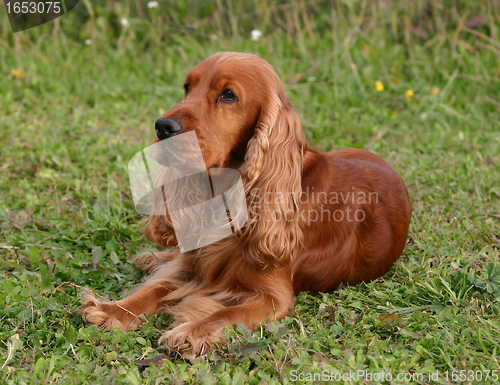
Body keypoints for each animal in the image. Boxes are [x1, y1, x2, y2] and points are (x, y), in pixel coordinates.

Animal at [80, 52, 412, 356]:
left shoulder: (274, 297)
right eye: (187, 87)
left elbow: (227, 313)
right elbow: (154, 288)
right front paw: (112, 309)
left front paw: (191, 331)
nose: (162, 127)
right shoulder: (195, 267)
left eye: (228, 95)